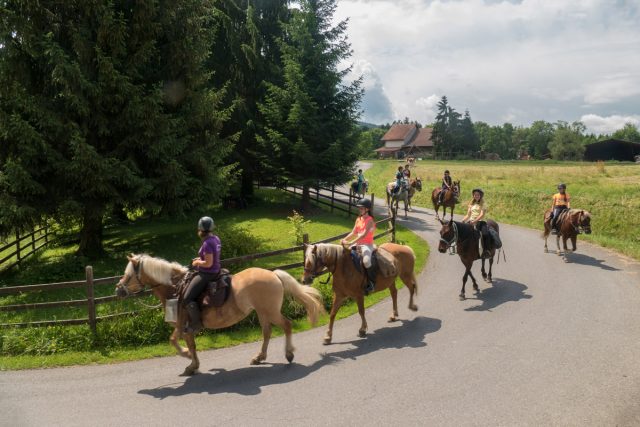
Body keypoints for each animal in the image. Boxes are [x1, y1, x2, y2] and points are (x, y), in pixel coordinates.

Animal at [114, 254, 322, 374]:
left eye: (129, 275)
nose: (118, 290)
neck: (175, 288)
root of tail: (274, 274)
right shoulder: (187, 328)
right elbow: (192, 345)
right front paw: (193, 365)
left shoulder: (182, 325)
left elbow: (174, 341)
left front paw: (187, 357)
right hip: (262, 312)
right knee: (267, 332)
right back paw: (259, 357)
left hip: (270, 311)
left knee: (286, 325)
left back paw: (288, 354)